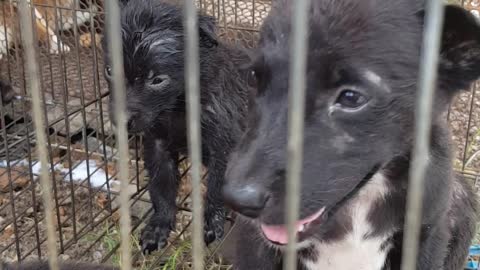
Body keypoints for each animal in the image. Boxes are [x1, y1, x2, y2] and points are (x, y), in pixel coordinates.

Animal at [102, 0, 249, 254]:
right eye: (110, 71)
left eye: (157, 80)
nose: (120, 121)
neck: (179, 109)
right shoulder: (157, 146)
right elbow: (160, 188)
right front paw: (159, 226)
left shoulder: (225, 146)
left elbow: (216, 187)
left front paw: (213, 222)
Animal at [223, 0, 480, 270]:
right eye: (253, 77)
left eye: (351, 98)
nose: (238, 200)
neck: (360, 201)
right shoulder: (254, 245)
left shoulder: (427, 234)